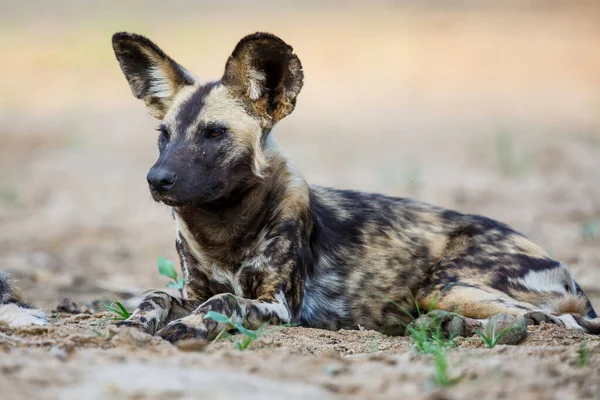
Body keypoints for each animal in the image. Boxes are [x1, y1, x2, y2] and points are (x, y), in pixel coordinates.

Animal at [110, 32, 596, 344]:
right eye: (165, 135)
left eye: (214, 133)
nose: (157, 179)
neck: (223, 227)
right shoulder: (192, 290)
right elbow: (157, 295)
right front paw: (134, 325)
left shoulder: (279, 306)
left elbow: (227, 301)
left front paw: (189, 328)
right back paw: (437, 328)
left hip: (447, 286)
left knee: (548, 323)